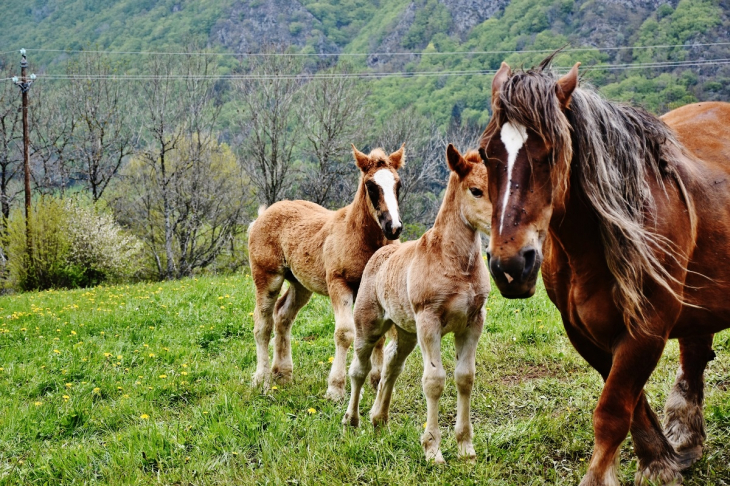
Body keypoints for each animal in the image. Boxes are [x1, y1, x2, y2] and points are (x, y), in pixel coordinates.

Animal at [247, 143, 400, 398]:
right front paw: (336, 388)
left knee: (283, 316)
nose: (394, 227)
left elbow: (377, 336)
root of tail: (261, 216)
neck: (361, 237)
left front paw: (377, 382)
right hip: (267, 277)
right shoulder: (339, 284)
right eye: (370, 185)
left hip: (300, 284)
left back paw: (283, 374)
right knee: (263, 324)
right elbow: (345, 333)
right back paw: (262, 379)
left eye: (398, 184)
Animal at [478, 56, 728, 482]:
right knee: (694, 355)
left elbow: (612, 412)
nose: (510, 265)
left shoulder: (646, 329)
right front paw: (661, 460)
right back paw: (686, 440)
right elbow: (632, 406)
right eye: (484, 153)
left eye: (551, 152)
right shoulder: (585, 332)